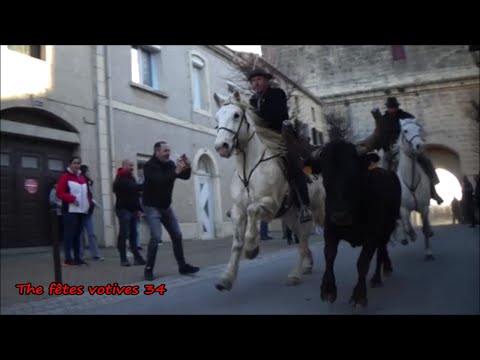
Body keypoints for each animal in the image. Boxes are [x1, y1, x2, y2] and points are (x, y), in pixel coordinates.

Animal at [214, 91, 326, 292]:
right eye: (217, 118)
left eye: (236, 115)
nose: (221, 146)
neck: (248, 169)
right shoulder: (237, 211)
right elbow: (236, 243)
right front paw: (226, 278)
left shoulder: (271, 205)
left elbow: (252, 210)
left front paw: (252, 249)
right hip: (292, 218)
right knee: (303, 239)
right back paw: (303, 268)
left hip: (317, 210)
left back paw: (297, 273)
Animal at [314, 141, 404, 306]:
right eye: (326, 175)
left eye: (353, 174)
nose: (340, 216)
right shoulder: (330, 230)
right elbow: (329, 255)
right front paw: (328, 289)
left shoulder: (372, 235)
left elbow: (362, 263)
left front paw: (359, 296)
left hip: (387, 228)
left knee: (381, 251)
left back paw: (377, 278)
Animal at [392, 119, 436, 260]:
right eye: (405, 131)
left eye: (418, 128)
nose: (419, 145)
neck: (410, 180)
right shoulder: (403, 209)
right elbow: (407, 225)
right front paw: (411, 236)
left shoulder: (424, 208)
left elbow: (425, 228)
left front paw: (428, 252)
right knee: (404, 223)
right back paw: (406, 238)